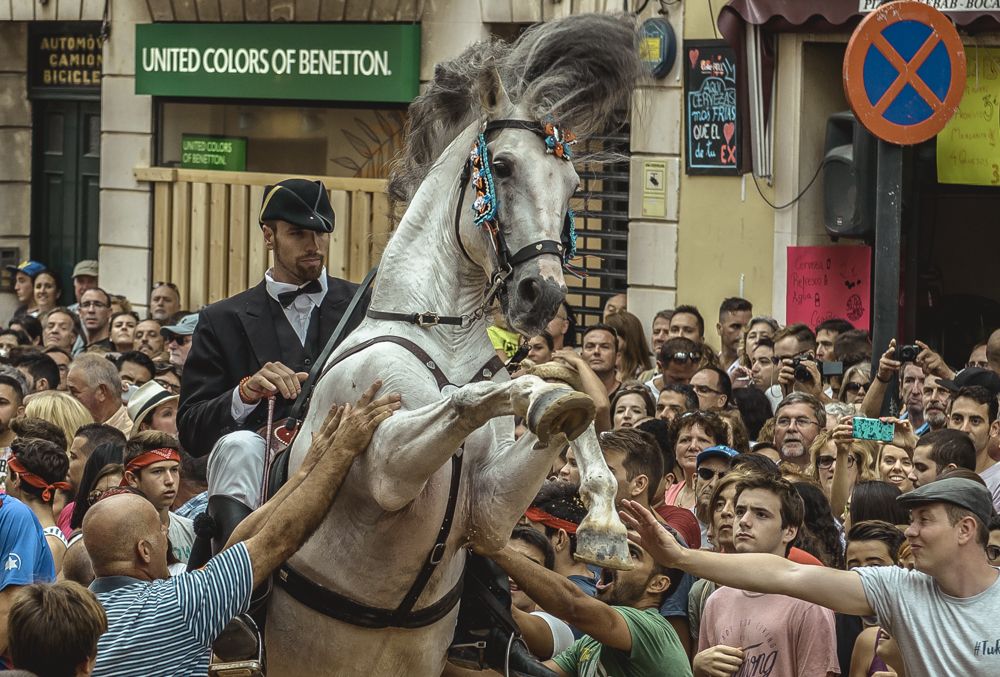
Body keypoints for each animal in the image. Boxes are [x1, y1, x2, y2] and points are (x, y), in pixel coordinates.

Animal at [264, 15, 643, 675]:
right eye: (506, 167)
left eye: (573, 183)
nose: (541, 295)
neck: (435, 335)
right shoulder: (384, 463)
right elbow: (477, 396)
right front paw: (548, 399)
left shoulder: (486, 511)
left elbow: (559, 410)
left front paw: (604, 522)